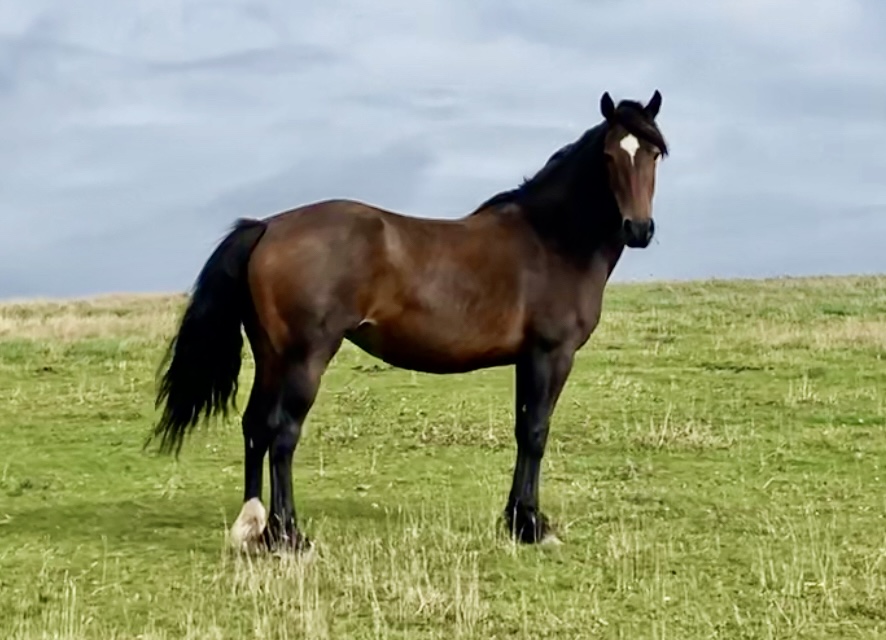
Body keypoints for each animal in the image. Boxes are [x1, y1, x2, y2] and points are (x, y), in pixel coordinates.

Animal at [149, 90, 669, 552]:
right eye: (609, 155)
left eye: (654, 153)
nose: (638, 229)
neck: (552, 239)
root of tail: (268, 226)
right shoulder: (550, 354)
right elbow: (536, 432)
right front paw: (532, 526)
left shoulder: (528, 359)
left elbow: (524, 430)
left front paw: (516, 521)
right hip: (305, 358)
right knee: (282, 433)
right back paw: (288, 536)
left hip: (271, 355)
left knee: (256, 426)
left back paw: (252, 528)